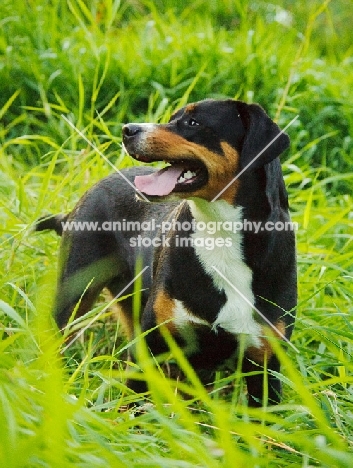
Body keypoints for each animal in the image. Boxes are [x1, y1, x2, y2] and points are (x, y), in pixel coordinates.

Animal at [35, 98, 296, 406]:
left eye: (193, 122)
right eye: (173, 117)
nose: (128, 129)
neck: (219, 233)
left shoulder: (264, 366)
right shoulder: (150, 341)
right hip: (74, 294)